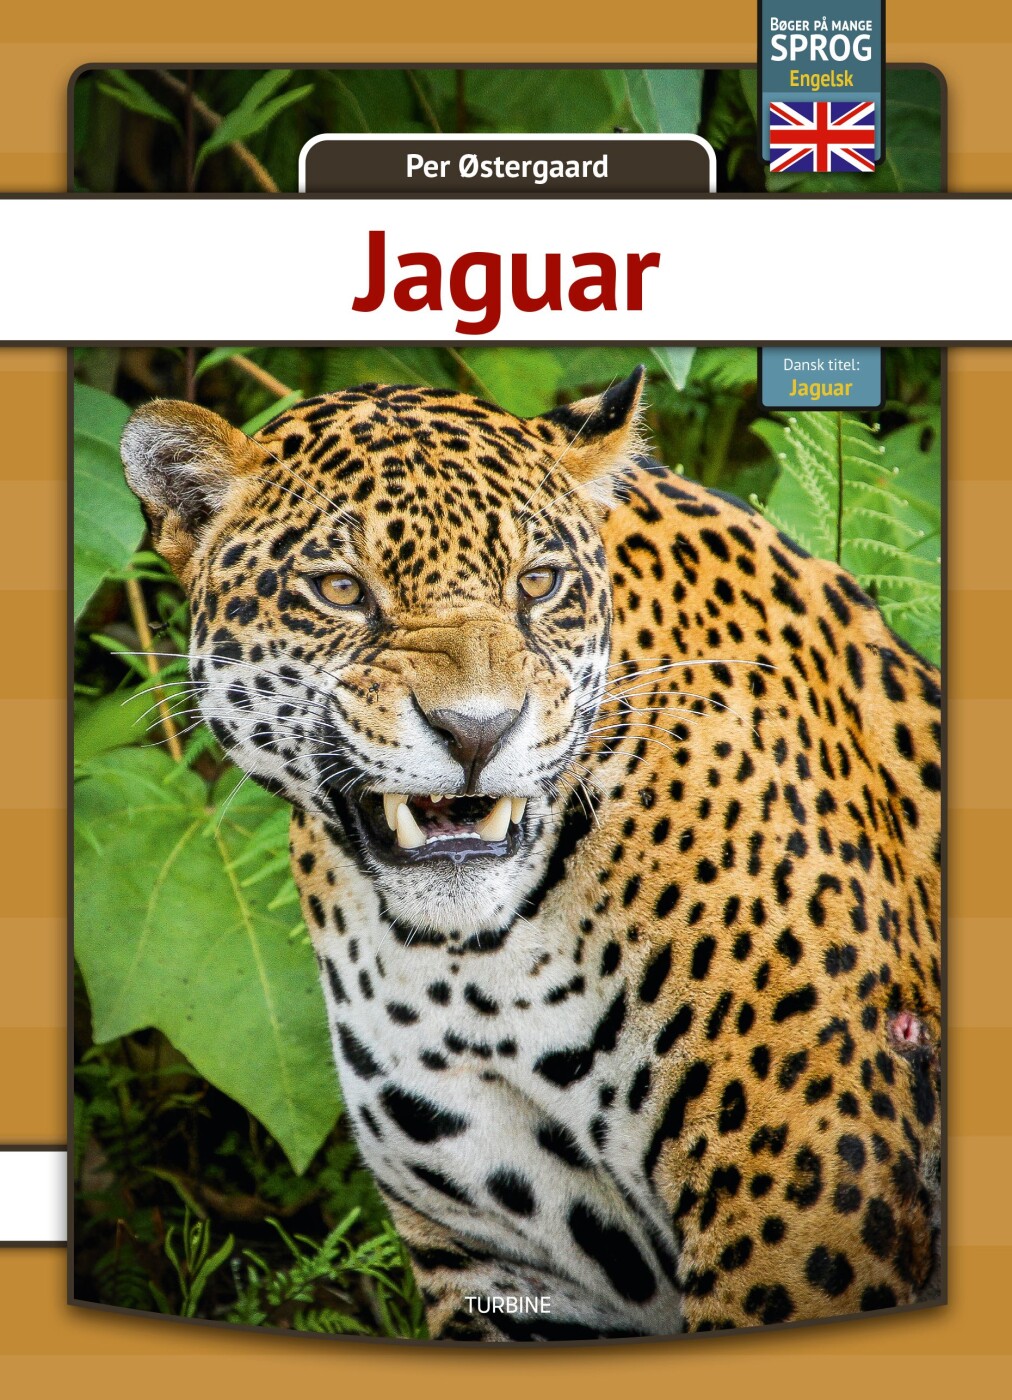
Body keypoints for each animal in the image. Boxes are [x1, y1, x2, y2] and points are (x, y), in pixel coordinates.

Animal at [120, 367, 942, 1343]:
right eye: (341, 589)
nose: (478, 730)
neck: (479, 968)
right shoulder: (503, 1259)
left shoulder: (807, 1206)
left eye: (539, 584)